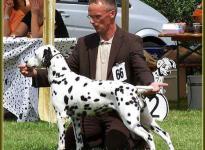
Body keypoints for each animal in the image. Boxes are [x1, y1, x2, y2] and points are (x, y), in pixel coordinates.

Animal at [25, 44, 173, 150]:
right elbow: (79, 143)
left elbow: (61, 144)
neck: (61, 77)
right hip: (147, 121)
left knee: (149, 137)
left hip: (132, 122)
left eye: (35, 54)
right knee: (165, 135)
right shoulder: (76, 119)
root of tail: (134, 88)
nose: (25, 62)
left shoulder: (61, 116)